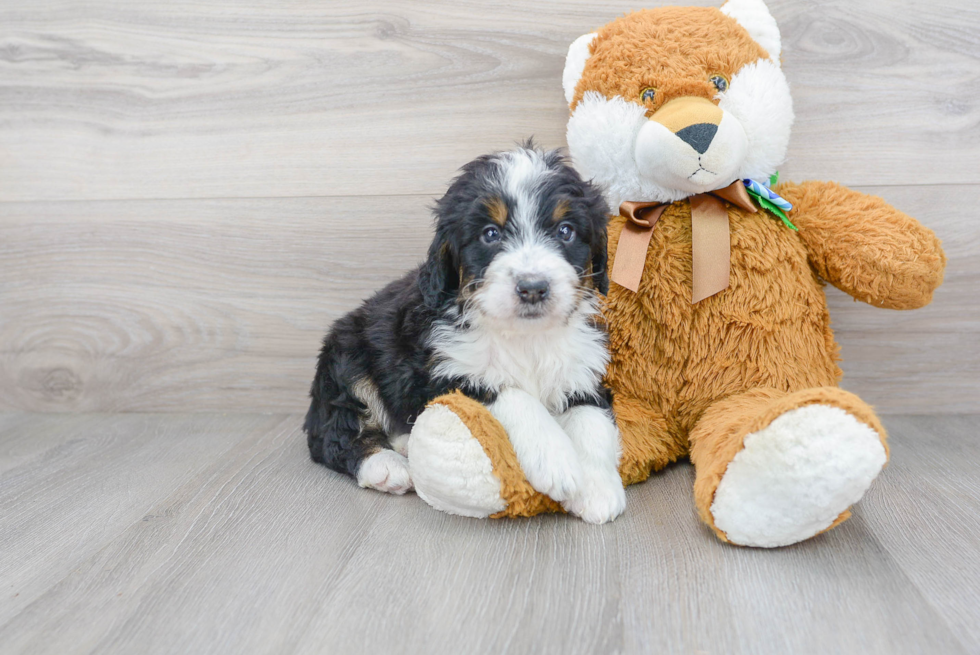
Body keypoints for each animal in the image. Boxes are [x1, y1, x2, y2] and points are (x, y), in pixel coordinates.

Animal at [306, 142, 628, 524]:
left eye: (566, 231)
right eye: (490, 234)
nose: (533, 288)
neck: (525, 337)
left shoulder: (584, 370)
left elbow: (592, 420)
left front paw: (597, 487)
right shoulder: (441, 372)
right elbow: (511, 394)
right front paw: (555, 459)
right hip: (347, 357)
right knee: (332, 435)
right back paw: (386, 465)